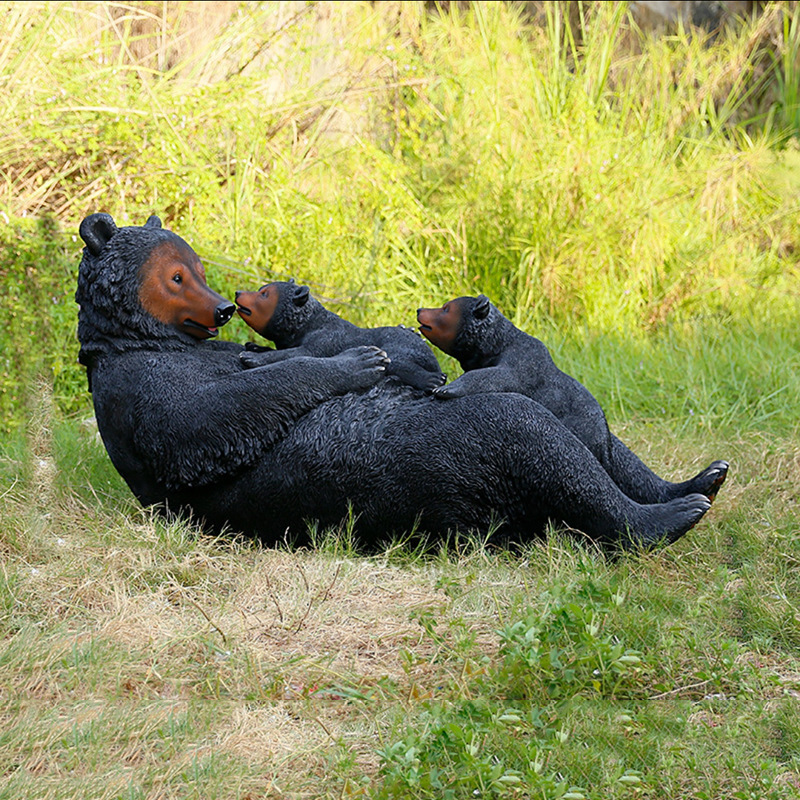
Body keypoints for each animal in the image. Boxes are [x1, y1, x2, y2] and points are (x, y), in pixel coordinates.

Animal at [75, 209, 720, 552]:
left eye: (196, 269)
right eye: (177, 276)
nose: (223, 308)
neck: (142, 339)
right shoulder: (140, 387)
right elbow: (203, 428)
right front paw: (353, 364)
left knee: (600, 451)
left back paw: (700, 481)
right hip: (419, 473)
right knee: (530, 436)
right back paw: (672, 514)